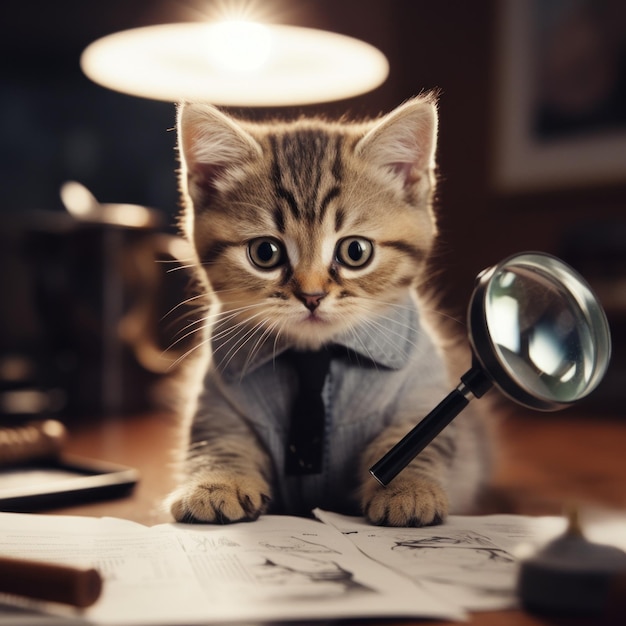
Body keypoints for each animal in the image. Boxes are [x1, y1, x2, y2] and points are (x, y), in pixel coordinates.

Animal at [167, 95, 492, 524]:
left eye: (355, 251)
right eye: (264, 253)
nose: (312, 295)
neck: (315, 358)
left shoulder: (420, 397)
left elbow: (416, 444)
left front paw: (410, 489)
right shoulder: (218, 407)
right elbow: (216, 443)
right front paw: (216, 482)